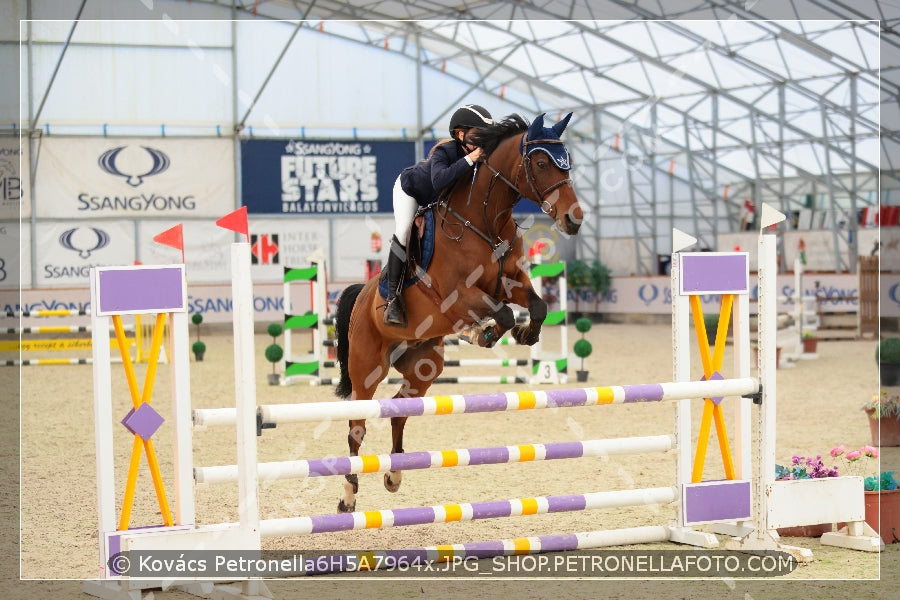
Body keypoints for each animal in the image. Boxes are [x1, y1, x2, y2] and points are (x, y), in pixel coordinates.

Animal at [330, 112, 584, 510]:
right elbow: (503, 313)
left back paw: (394, 475)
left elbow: (537, 304)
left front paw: (527, 334)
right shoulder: (458, 295)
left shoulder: (509, 281)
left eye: (567, 160)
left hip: (424, 365)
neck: (484, 221)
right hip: (366, 367)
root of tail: (362, 296)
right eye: (542, 163)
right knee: (358, 425)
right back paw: (348, 495)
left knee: (399, 410)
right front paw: (487, 332)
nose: (575, 218)